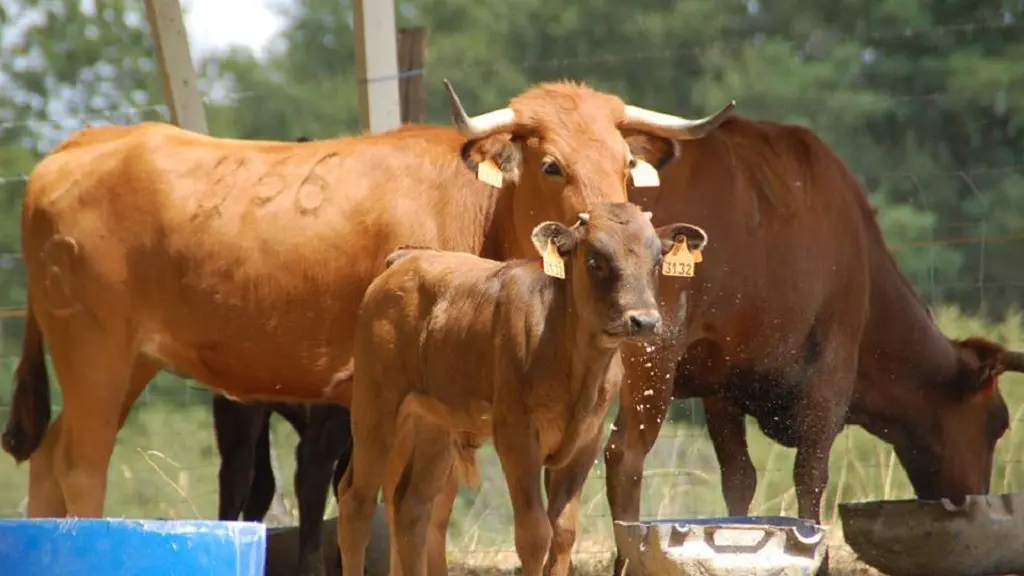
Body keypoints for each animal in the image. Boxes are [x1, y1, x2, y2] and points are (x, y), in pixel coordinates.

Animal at [339, 201, 708, 573]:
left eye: (657, 261)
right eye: (595, 261)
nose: (644, 321)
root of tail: (407, 258)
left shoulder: (586, 443)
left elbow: (563, 532)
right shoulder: (516, 437)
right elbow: (534, 533)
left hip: (433, 424)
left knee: (412, 509)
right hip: (375, 409)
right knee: (357, 505)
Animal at [602, 115, 1024, 569]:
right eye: (998, 422)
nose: (978, 501)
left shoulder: (721, 380)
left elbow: (739, 476)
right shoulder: (832, 373)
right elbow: (811, 476)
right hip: (652, 354)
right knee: (624, 455)